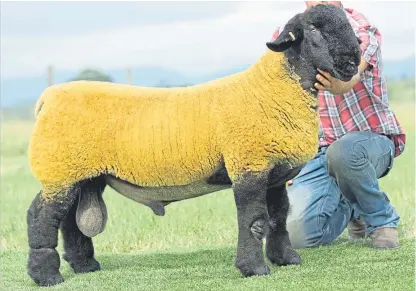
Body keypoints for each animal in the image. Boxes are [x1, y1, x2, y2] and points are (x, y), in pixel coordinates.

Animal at [27, 4, 362, 288]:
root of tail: (48, 98)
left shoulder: (275, 173)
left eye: (349, 25)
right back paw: (46, 275)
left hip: (81, 174)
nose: (352, 62)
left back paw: (84, 266)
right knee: (41, 216)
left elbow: (279, 216)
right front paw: (253, 269)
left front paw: (286, 259)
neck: (271, 89)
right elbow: (254, 221)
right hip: (60, 170)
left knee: (69, 221)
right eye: (314, 29)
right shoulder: (248, 167)